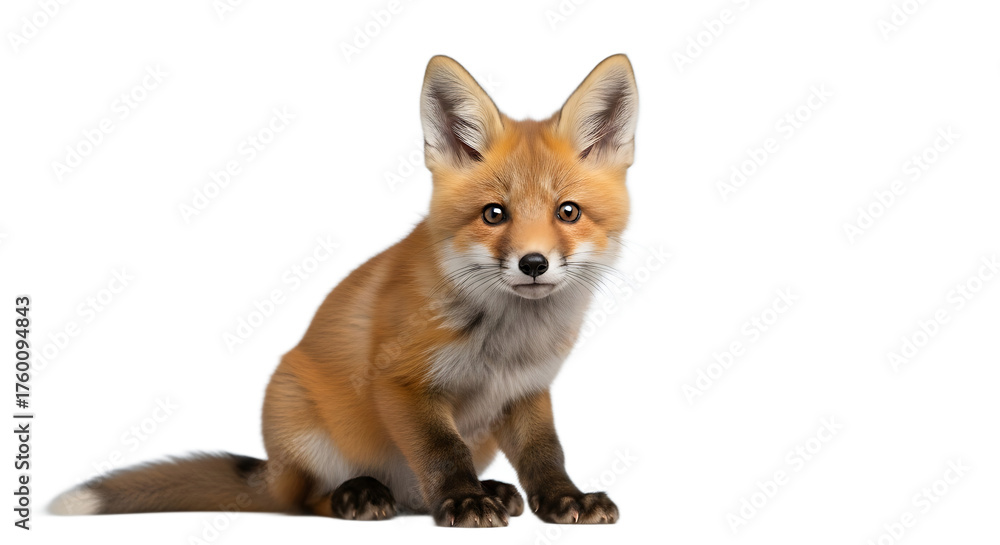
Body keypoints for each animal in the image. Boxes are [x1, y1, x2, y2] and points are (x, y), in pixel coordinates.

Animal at [51, 54, 639, 527]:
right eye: (495, 214)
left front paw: (565, 499)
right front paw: (465, 502)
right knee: (308, 499)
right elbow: (443, 451)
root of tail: (274, 470)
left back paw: (488, 489)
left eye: (568, 213)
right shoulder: (400, 382)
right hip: (299, 419)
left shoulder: (527, 391)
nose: (533, 263)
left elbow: (546, 455)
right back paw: (359, 495)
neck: (506, 345)